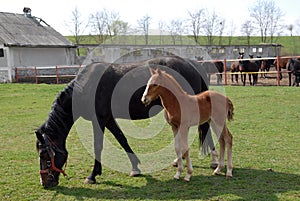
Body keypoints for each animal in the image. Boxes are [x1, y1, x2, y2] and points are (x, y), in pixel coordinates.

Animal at [36, 55, 218, 188]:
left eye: (44, 155)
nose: (45, 183)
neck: (85, 87)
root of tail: (192, 64)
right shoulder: (109, 120)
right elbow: (122, 140)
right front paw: (135, 168)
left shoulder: (99, 120)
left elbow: (98, 146)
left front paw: (92, 175)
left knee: (205, 127)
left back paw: (215, 161)